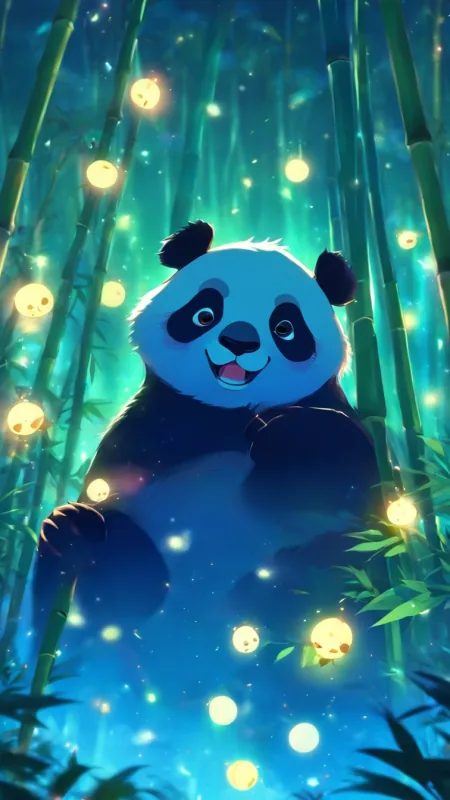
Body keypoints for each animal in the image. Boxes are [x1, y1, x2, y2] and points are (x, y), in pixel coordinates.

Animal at [32, 220, 380, 697]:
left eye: (285, 327)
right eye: (204, 314)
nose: (239, 342)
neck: (227, 412)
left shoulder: (333, 414)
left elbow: (359, 483)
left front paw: (280, 435)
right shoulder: (146, 431)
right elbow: (107, 487)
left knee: (331, 570)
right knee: (111, 583)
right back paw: (78, 536)